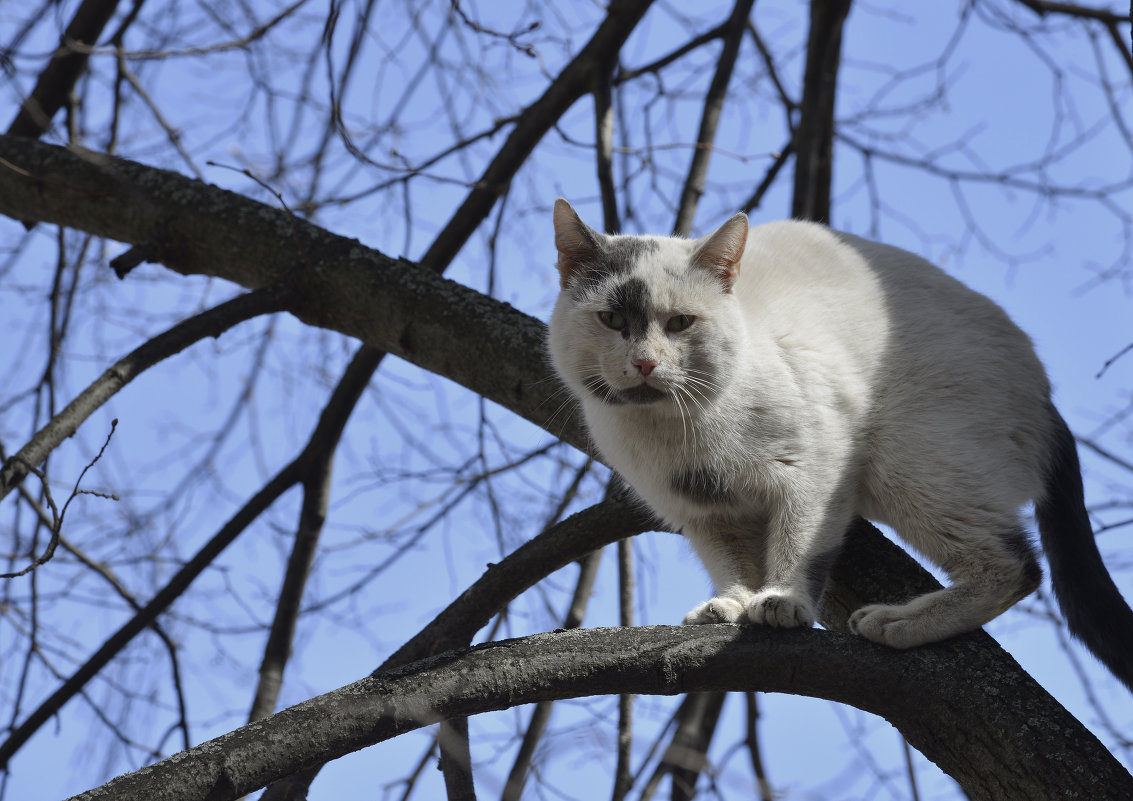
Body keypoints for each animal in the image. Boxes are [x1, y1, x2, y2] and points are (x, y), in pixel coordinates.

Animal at [543, 197, 1133, 693]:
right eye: (613, 319)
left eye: (681, 323)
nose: (644, 363)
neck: (678, 436)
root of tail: (1044, 392)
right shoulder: (701, 511)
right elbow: (729, 562)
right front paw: (730, 604)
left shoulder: (817, 468)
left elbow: (799, 544)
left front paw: (781, 602)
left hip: (909, 460)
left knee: (1016, 566)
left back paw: (895, 622)